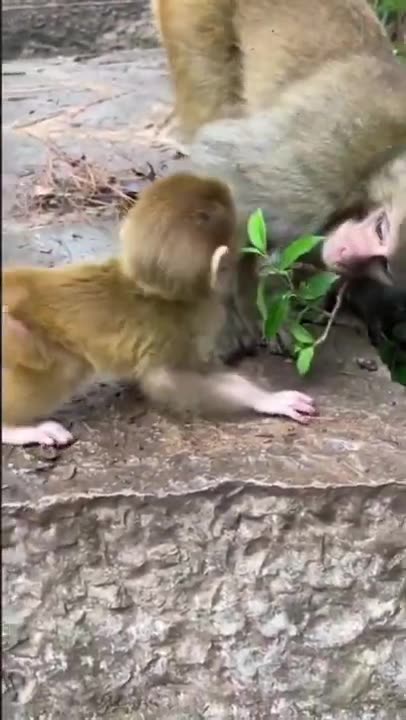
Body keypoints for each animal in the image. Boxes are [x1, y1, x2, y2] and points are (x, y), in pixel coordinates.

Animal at [2, 173, 316, 447]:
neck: (155, 291)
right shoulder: (188, 323)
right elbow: (166, 380)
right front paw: (266, 399)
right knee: (63, 365)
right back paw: (14, 429)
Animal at [151, 0, 406, 359]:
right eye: (381, 229)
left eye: (384, 265)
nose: (345, 254)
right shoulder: (335, 154)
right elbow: (227, 168)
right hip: (192, 15)